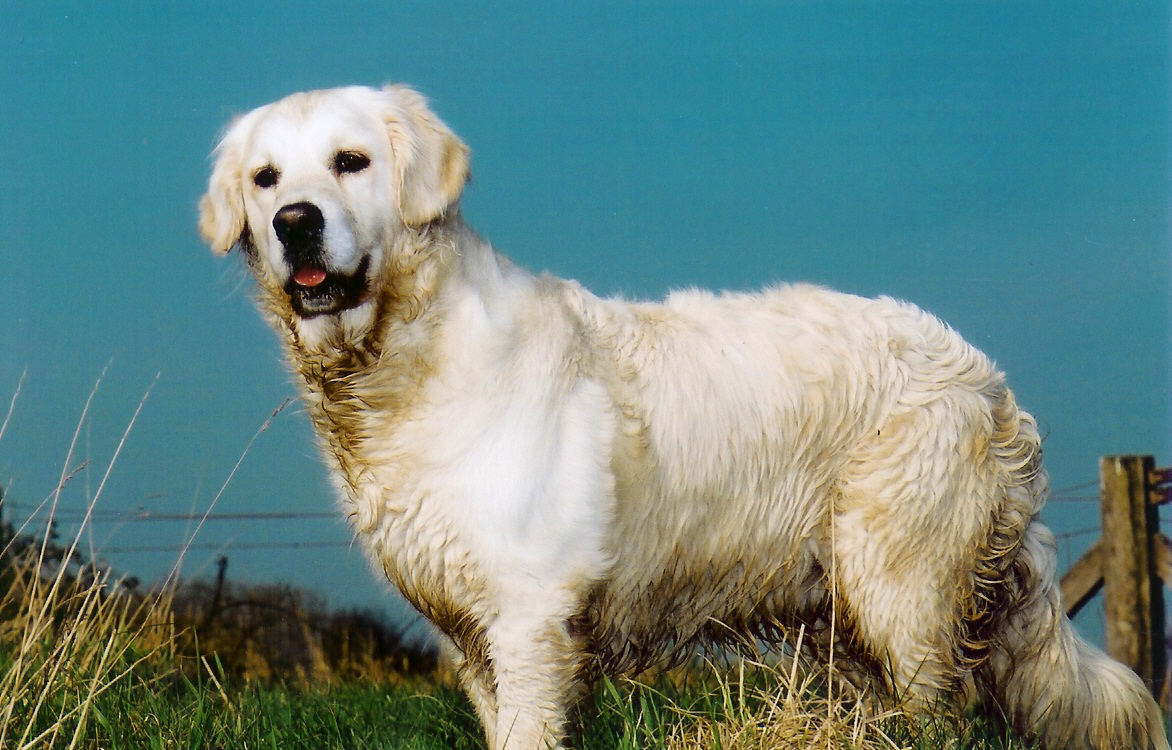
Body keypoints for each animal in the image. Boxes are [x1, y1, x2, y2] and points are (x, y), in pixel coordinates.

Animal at [199, 84, 1168, 750]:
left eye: (352, 161)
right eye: (266, 178)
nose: (295, 222)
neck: (404, 355)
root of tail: (989, 381)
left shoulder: (529, 619)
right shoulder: (477, 640)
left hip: (903, 592)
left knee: (942, 713)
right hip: (849, 617)